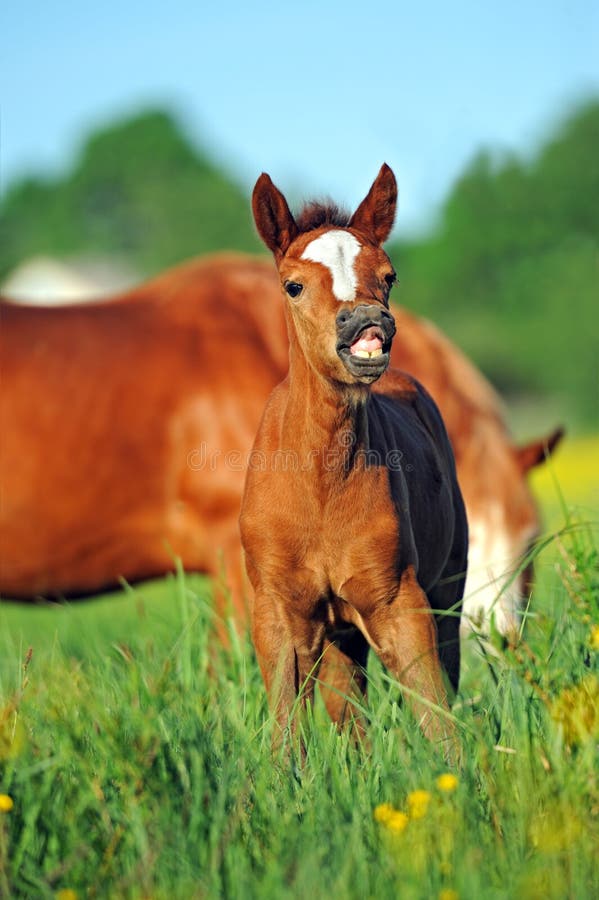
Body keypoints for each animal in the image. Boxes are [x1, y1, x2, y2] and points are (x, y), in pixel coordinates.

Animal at [239, 163, 468, 752]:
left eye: (388, 276)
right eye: (293, 285)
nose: (366, 323)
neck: (321, 485)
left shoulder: (398, 599)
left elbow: (438, 719)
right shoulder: (278, 612)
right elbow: (286, 733)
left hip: (445, 589)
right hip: (340, 631)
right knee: (349, 712)